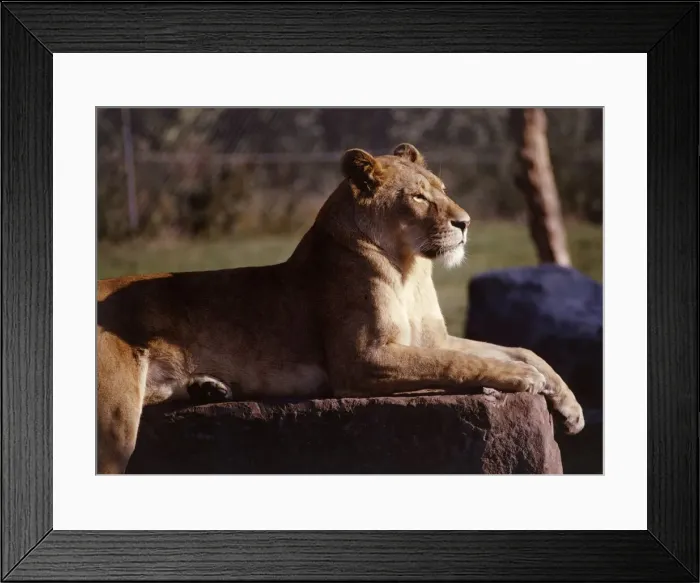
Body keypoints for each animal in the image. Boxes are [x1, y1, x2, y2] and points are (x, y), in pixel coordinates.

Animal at [97, 143, 584, 474]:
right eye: (419, 197)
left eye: (444, 190)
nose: (464, 223)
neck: (410, 268)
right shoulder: (362, 359)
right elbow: (456, 363)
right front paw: (523, 379)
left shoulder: (434, 336)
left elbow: (515, 348)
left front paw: (568, 404)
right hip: (115, 423)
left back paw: (209, 389)